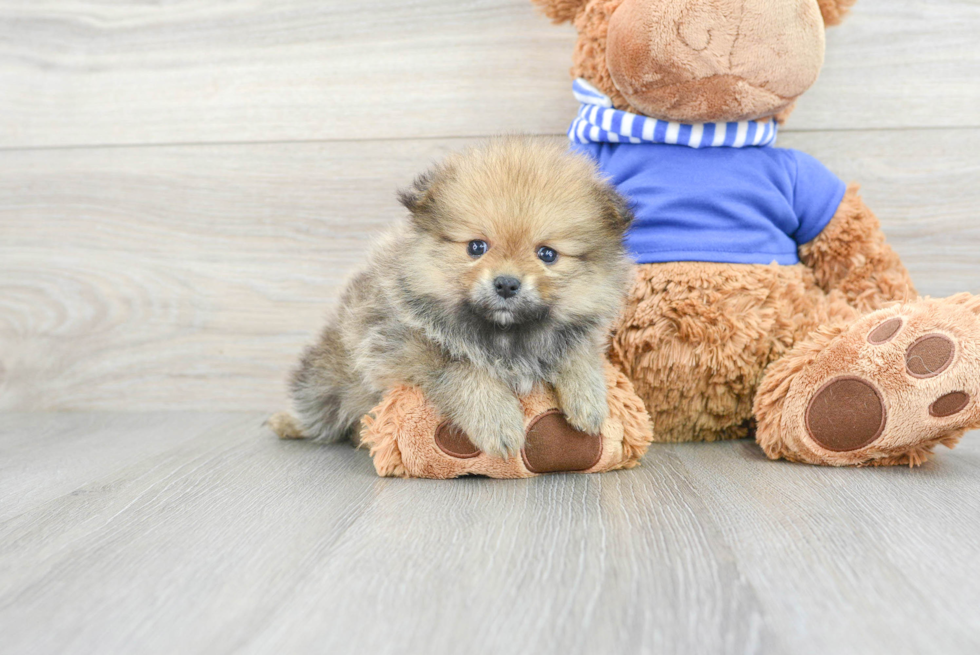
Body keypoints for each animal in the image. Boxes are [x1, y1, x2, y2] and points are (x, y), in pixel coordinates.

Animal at [272, 136, 632, 458]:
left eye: (547, 254)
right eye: (476, 247)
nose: (506, 284)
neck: (506, 335)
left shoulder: (574, 330)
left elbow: (579, 353)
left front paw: (589, 400)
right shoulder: (400, 344)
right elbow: (465, 371)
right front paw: (498, 421)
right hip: (325, 379)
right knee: (318, 407)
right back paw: (289, 423)